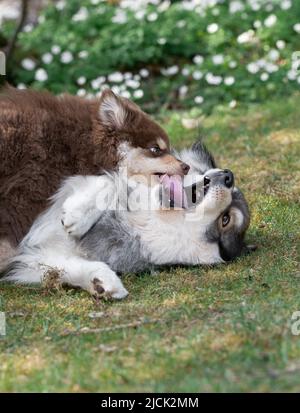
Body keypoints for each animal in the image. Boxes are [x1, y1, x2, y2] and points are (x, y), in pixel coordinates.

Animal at [2, 142, 251, 296]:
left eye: (226, 220)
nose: (228, 175)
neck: (139, 223)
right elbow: (109, 182)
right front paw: (77, 215)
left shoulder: (38, 258)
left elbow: (70, 266)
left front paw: (102, 282)